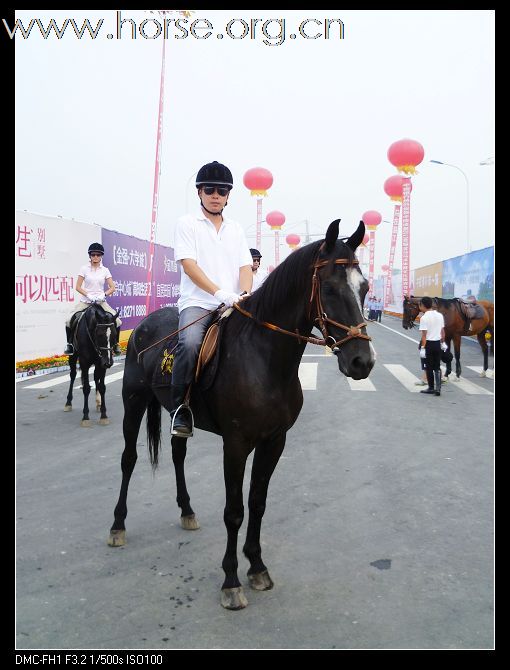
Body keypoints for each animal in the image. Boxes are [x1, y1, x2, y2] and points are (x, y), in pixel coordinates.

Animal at [106, 223, 374, 612]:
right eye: (329, 289)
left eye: (364, 287)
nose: (362, 362)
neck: (264, 357)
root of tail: (145, 324)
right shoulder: (235, 445)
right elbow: (234, 511)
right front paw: (231, 581)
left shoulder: (274, 441)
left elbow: (257, 503)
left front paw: (257, 566)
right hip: (134, 401)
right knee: (128, 459)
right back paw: (117, 526)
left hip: (175, 412)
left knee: (177, 454)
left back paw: (186, 510)